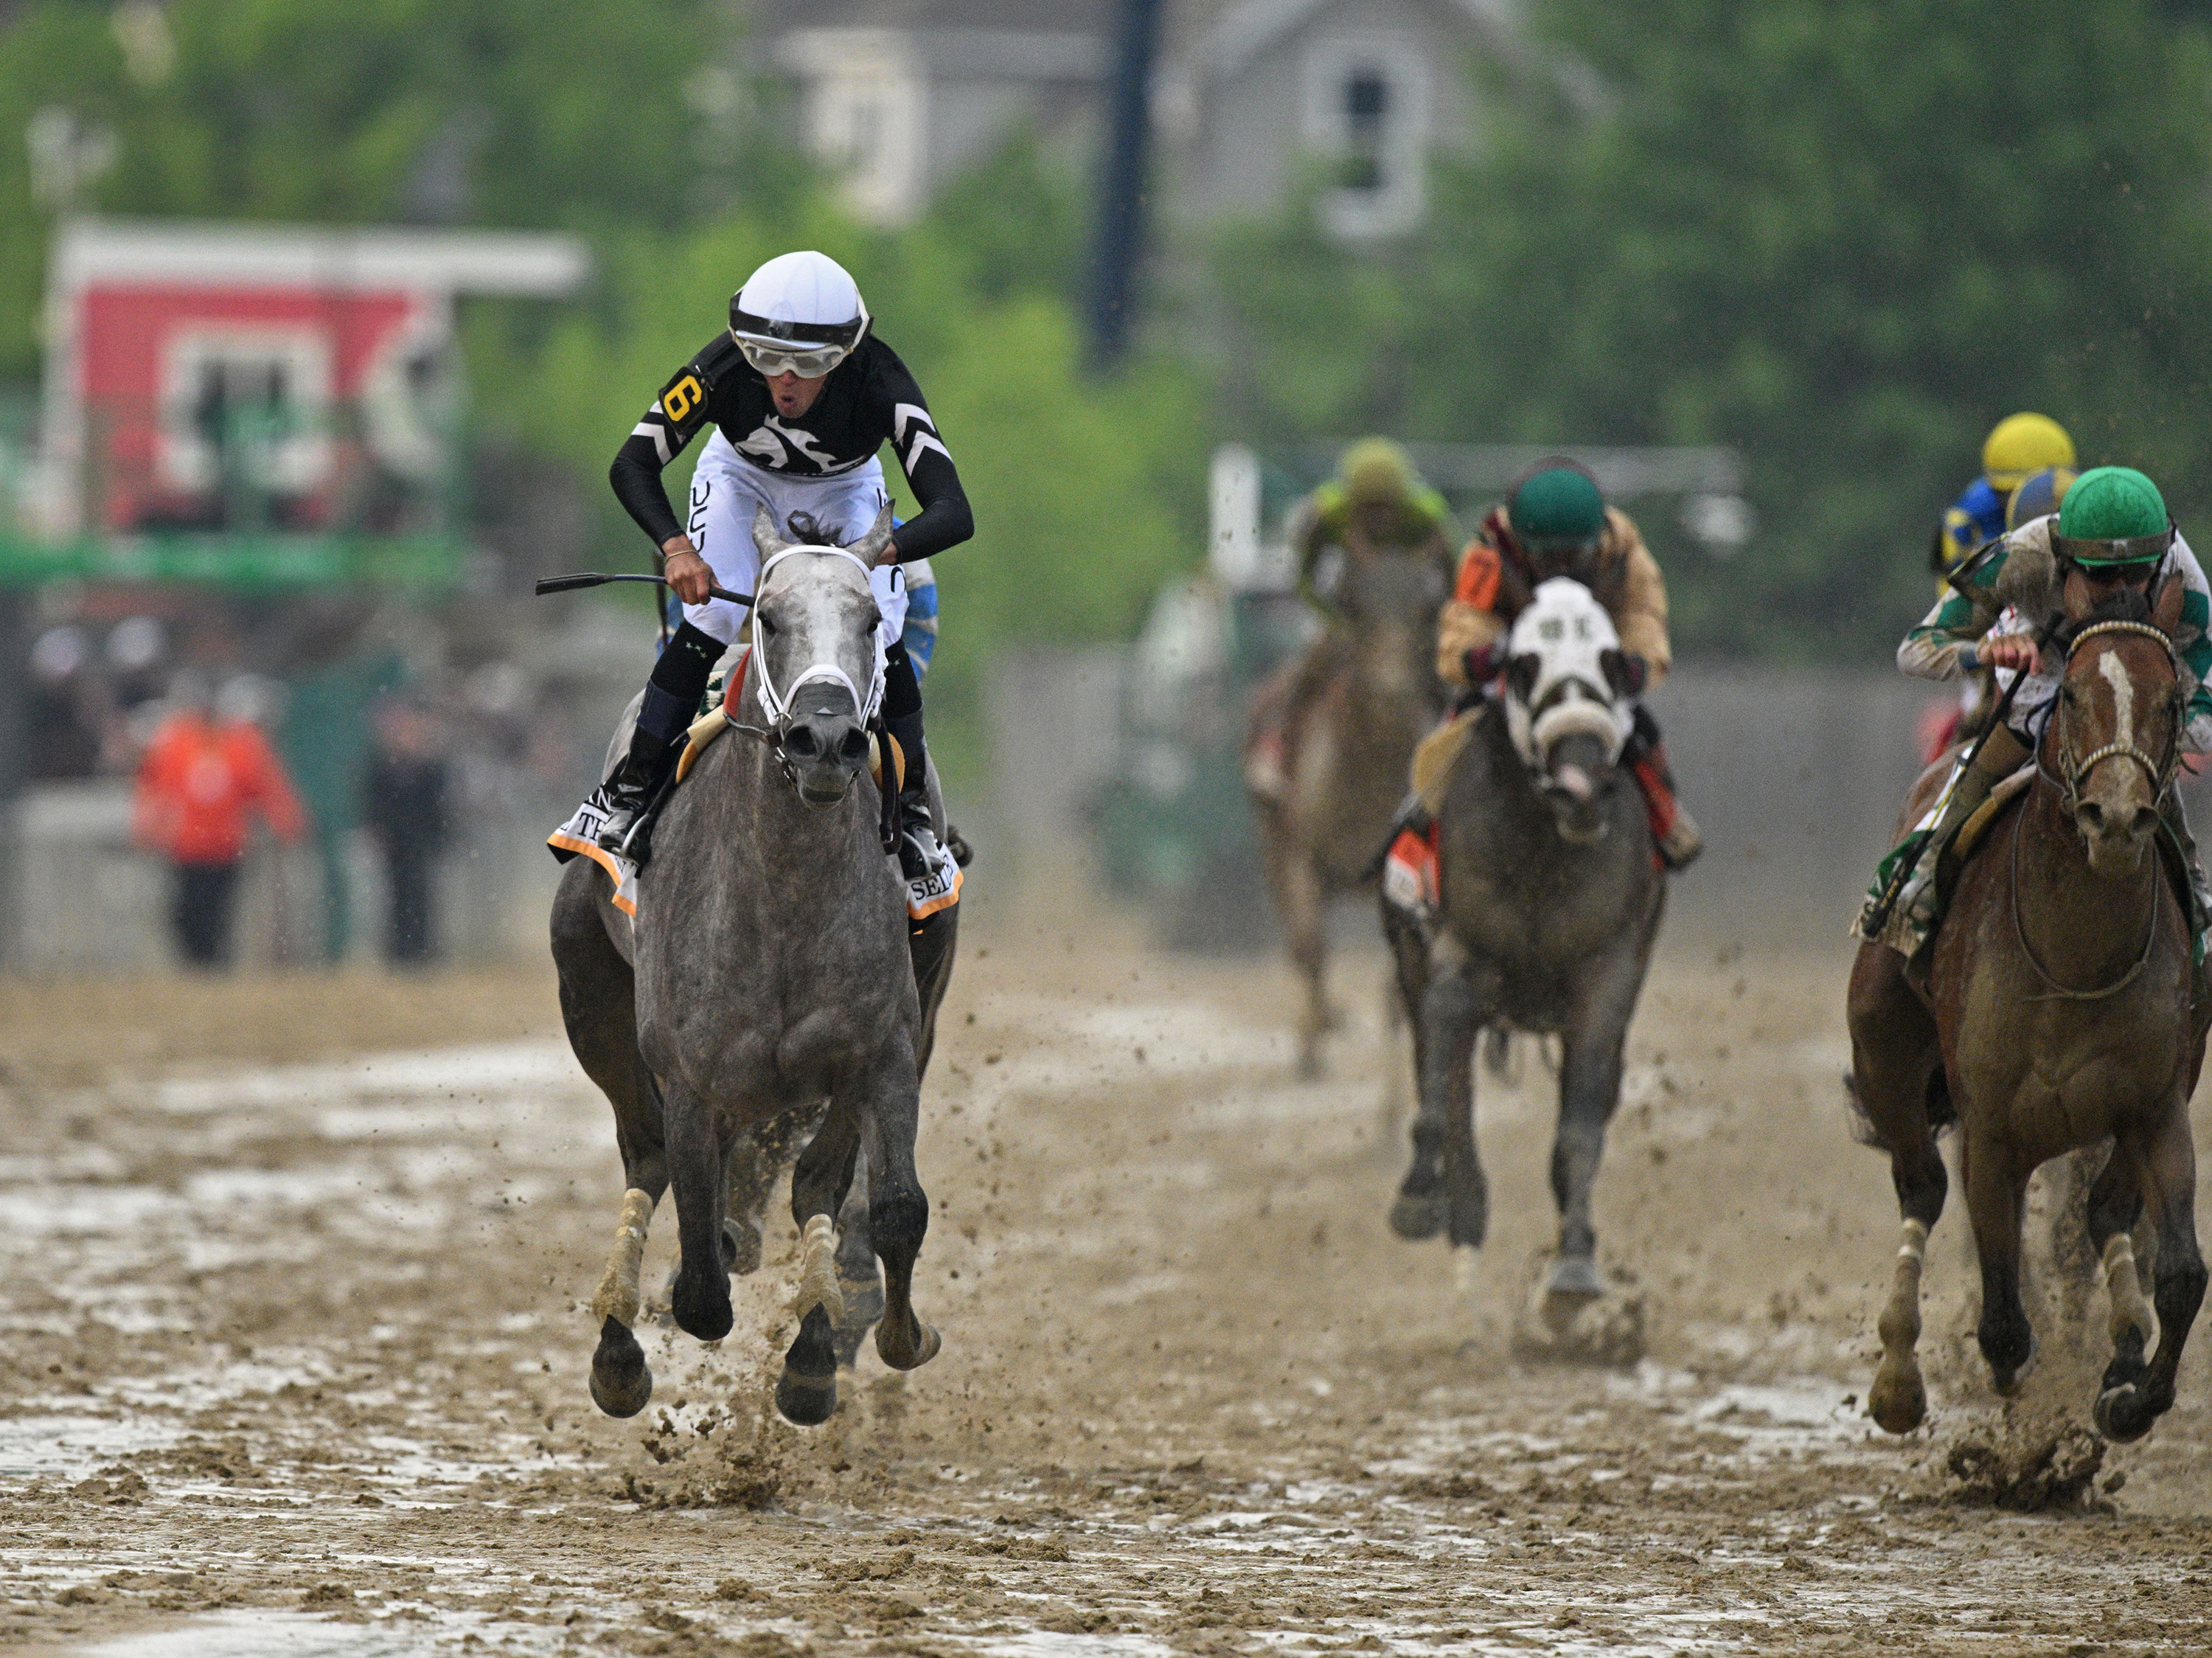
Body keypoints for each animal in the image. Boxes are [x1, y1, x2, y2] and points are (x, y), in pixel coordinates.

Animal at [553, 504, 951, 1425]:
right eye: (768, 618)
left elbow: (880, 1202)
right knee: (648, 1160)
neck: (785, 891)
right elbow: (701, 1278)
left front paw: (839, 1351)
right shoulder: (690, 1074)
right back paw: (619, 1352)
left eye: (873, 623)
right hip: (595, 1008)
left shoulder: (878, 1051)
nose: (826, 740)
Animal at [1248, 549, 1451, 1080]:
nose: (1390, 691)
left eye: (1422, 607)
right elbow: (1310, 945)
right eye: (1354, 605)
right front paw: (1315, 1036)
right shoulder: (1300, 854)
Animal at [1380, 575, 1663, 1328]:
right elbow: (1441, 1102)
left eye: (1611, 663)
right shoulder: (1454, 962)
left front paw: (1574, 1270)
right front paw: (1427, 1203)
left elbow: (1579, 1132)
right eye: (1525, 664)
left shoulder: (1607, 976)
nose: (1582, 786)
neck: (1540, 852)